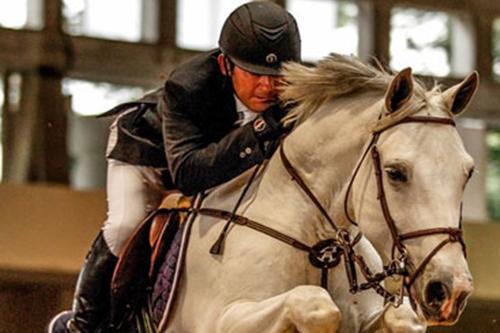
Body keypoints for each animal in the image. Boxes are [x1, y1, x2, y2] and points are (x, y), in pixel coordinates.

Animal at [147, 53, 476, 330]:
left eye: (468, 173)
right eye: (395, 173)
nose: (451, 291)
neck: (320, 247)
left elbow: (402, 317)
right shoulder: (223, 319)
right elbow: (317, 306)